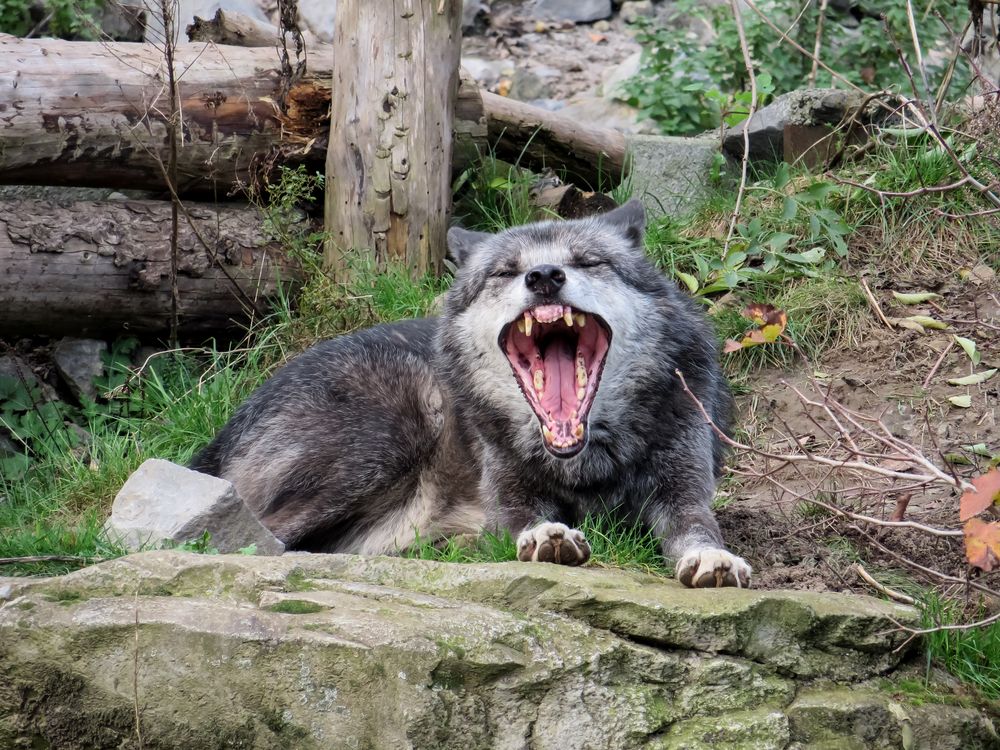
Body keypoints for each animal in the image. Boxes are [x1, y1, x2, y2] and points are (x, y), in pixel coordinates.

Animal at [189, 203, 752, 592]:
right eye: (506, 271)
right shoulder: (509, 501)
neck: (585, 463)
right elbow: (527, 524)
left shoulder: (683, 491)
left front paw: (711, 559)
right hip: (390, 434)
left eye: (589, 262)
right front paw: (548, 538)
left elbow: (697, 528)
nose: (544, 277)